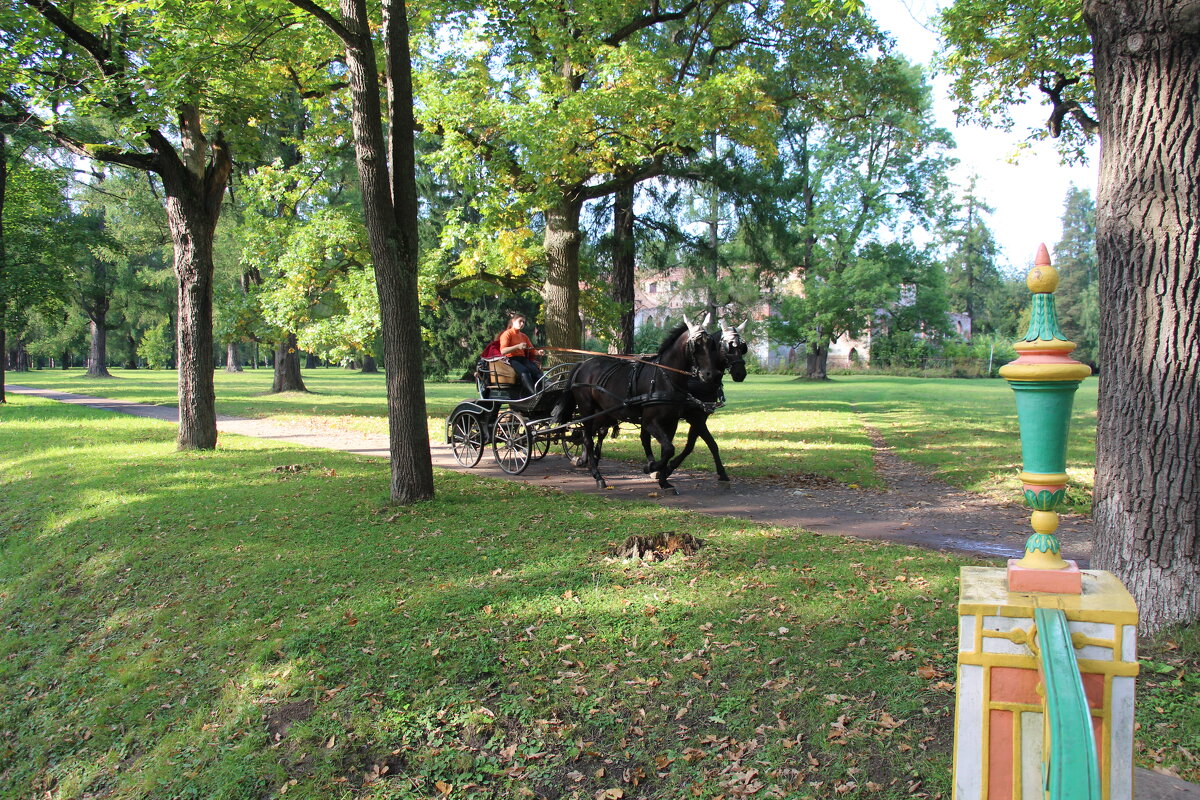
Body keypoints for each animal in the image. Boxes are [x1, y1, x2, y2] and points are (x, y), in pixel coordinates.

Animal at [552, 319, 720, 494]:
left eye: (711, 344)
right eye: (696, 344)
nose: (711, 374)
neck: (665, 378)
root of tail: (582, 364)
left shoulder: (671, 421)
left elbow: (667, 449)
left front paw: (663, 480)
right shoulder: (650, 421)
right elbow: (668, 449)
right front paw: (651, 467)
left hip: (602, 413)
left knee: (591, 434)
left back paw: (589, 463)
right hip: (586, 409)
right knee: (587, 439)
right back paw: (598, 476)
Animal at [643, 316, 744, 482]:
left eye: (743, 347)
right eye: (729, 347)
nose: (740, 373)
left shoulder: (700, 417)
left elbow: (699, 445)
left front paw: (722, 473)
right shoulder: (694, 417)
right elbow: (702, 444)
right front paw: (668, 468)